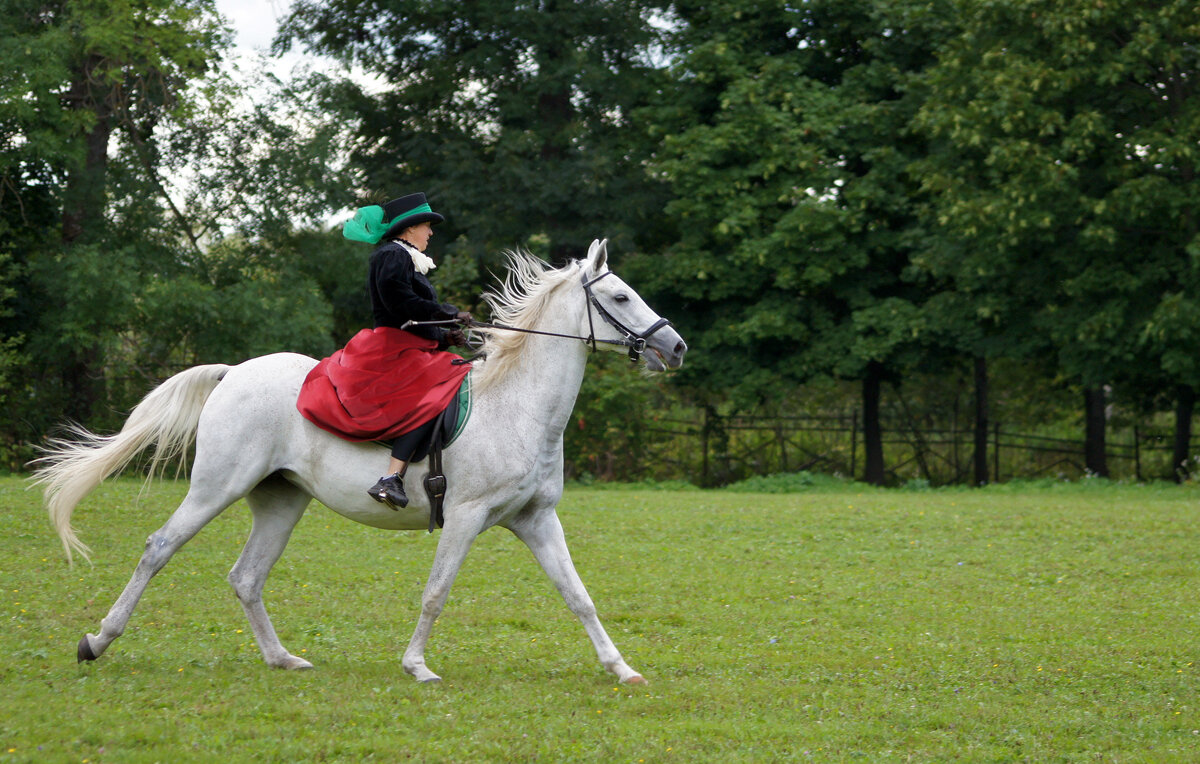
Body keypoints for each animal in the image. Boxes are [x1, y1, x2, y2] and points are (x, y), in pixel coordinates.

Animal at [35, 239, 686, 686]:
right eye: (620, 296)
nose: (674, 347)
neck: (518, 407)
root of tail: (234, 372)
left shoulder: (536, 519)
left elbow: (578, 595)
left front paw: (622, 669)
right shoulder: (466, 517)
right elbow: (436, 592)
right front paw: (417, 666)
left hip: (281, 499)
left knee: (246, 576)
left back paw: (282, 658)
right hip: (216, 487)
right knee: (159, 548)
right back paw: (97, 641)